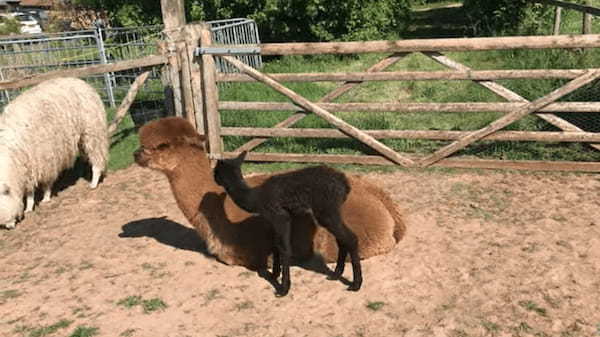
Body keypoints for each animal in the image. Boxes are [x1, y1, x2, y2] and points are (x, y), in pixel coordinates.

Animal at [0, 77, 109, 227]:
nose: (10, 227)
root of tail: (80, 81)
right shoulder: (27, 167)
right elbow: (29, 190)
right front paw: (29, 207)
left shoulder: (44, 160)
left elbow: (45, 183)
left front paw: (45, 198)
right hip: (80, 138)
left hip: (92, 131)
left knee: (97, 156)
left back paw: (94, 182)